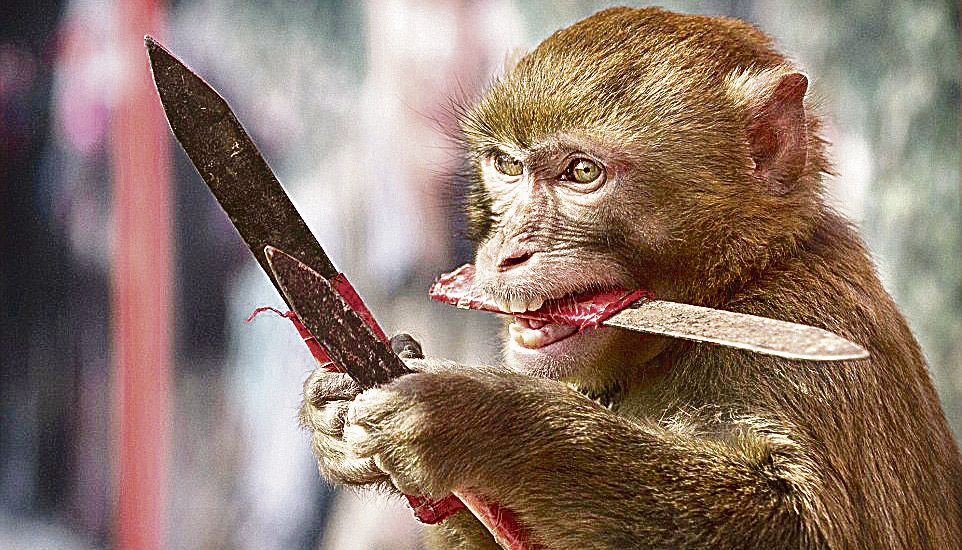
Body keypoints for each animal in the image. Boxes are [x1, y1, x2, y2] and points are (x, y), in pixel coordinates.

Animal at [298, 7, 962, 549]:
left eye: (581, 173)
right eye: (507, 166)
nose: (505, 255)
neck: (735, 287)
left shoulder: (806, 330)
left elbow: (804, 530)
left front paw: (481, 423)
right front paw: (338, 404)